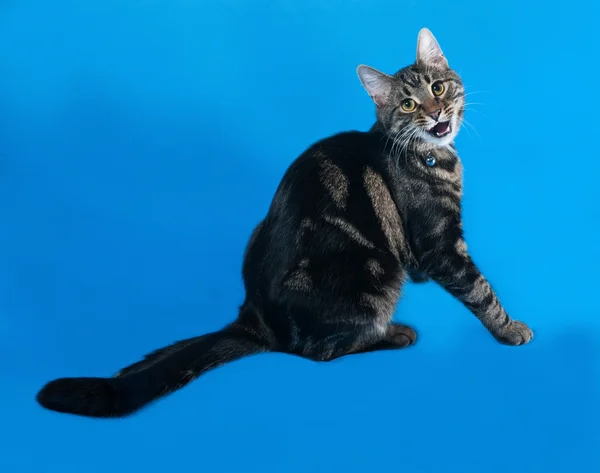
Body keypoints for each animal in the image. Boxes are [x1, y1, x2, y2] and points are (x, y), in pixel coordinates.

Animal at [36, 27, 536, 416]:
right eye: (408, 105)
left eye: (437, 88)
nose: (435, 113)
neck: (430, 156)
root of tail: (256, 318)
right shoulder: (439, 244)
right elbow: (480, 288)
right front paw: (511, 328)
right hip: (375, 269)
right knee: (320, 352)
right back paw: (395, 334)